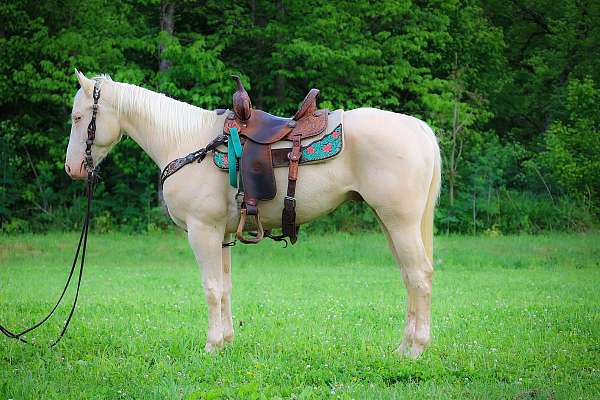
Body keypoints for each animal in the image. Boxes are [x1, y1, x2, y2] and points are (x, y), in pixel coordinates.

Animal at [64, 70, 440, 358]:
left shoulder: (203, 231)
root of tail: (419, 129)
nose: (73, 168)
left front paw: (211, 345)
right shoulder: (223, 234)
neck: (187, 143)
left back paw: (416, 349)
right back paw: (403, 347)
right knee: (409, 277)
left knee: (419, 276)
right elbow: (225, 287)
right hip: (389, 223)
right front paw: (227, 342)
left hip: (400, 223)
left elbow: (211, 287)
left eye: (78, 118)